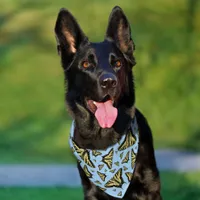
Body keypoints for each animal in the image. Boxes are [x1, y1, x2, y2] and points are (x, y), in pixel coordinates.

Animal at [54, 6, 162, 200]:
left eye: (117, 63)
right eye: (86, 64)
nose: (109, 82)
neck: (104, 137)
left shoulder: (150, 187)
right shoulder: (91, 192)